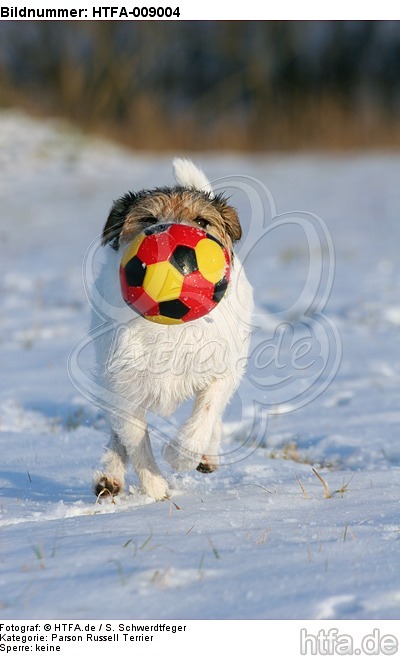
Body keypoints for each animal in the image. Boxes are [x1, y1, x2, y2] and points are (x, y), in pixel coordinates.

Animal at [92, 158, 253, 498]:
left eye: (202, 221)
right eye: (149, 219)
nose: (168, 234)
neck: (171, 325)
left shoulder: (223, 368)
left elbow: (206, 413)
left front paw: (182, 455)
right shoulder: (123, 383)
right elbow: (133, 437)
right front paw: (154, 486)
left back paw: (207, 455)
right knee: (117, 432)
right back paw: (109, 475)